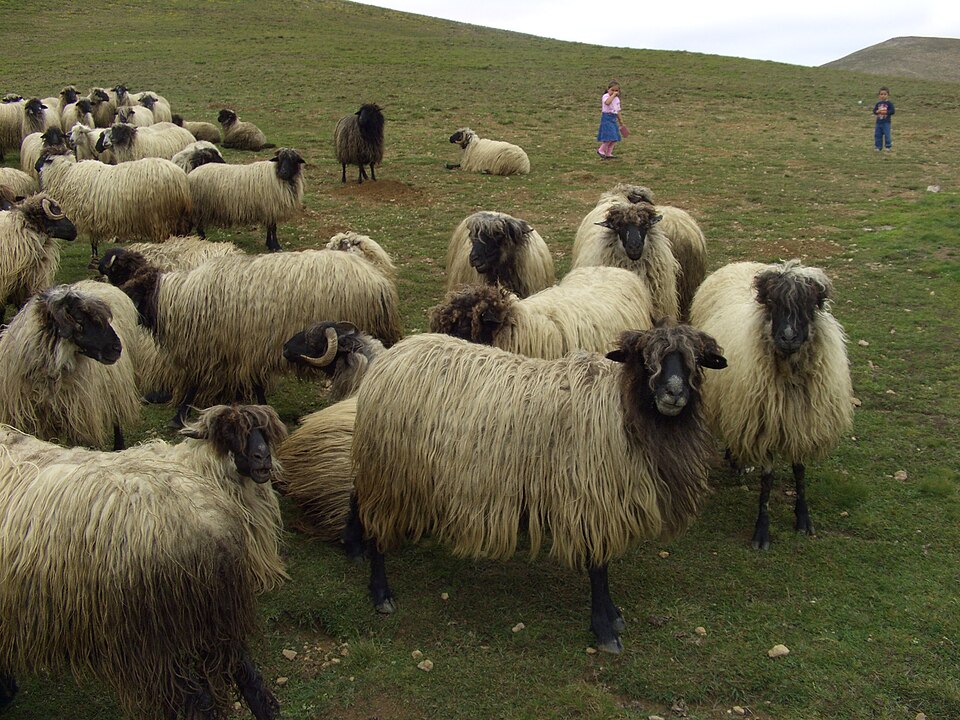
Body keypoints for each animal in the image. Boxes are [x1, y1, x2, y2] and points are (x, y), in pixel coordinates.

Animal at [0, 404, 286, 720]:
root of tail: (212, 531)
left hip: (155, 641)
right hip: (206, 624)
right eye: (230, 433)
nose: (263, 458)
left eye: (264, 433)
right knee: (250, 683)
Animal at [35, 152, 191, 260]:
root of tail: (181, 179)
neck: (65, 175)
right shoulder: (93, 219)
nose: (35, 168)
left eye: (43, 159)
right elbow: (94, 241)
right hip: (179, 219)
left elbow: (93, 242)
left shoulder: (89, 218)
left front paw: (93, 258)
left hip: (160, 218)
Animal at [106, 240, 402, 426]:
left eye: (132, 291)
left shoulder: (215, 347)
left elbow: (193, 383)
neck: (175, 300)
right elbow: (256, 382)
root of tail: (376, 277)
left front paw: (178, 417)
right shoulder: (247, 348)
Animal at [347, 324, 727, 653]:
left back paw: (357, 548)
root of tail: (391, 356)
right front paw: (604, 628)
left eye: (696, 361)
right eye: (644, 358)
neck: (621, 410)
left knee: (356, 495)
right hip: (387, 466)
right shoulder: (591, 499)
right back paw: (380, 591)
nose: (674, 393)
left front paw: (613, 617)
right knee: (370, 512)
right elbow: (599, 567)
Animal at [689, 260, 854, 550]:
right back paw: (737, 459)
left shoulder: (801, 424)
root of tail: (741, 264)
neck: (789, 374)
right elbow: (767, 481)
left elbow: (800, 471)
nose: (788, 337)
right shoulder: (762, 425)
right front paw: (762, 531)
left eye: (809, 305)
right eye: (772, 303)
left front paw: (803, 518)